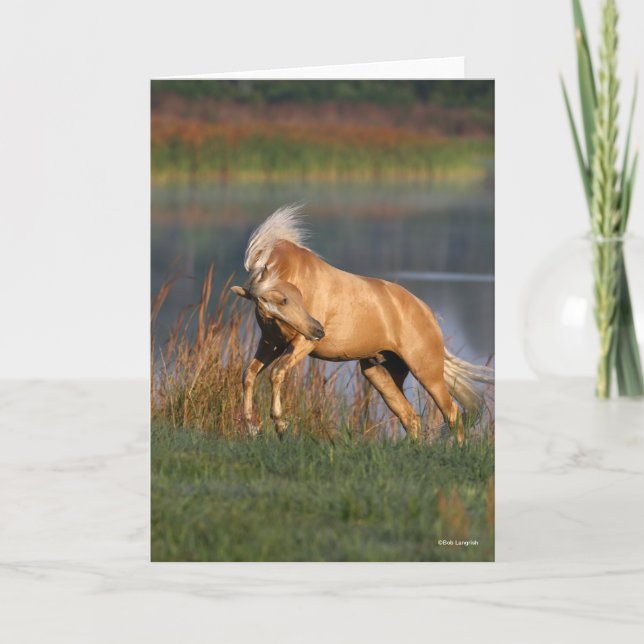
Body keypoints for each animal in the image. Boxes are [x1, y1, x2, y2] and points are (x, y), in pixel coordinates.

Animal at [231, 204, 493, 444]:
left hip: (427, 373)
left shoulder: (301, 343)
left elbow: (277, 373)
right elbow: (249, 375)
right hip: (379, 373)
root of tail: (427, 312)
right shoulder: (270, 343)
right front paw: (252, 427)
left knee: (452, 413)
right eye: (266, 307)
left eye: (287, 299)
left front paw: (280, 424)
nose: (318, 331)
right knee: (410, 418)